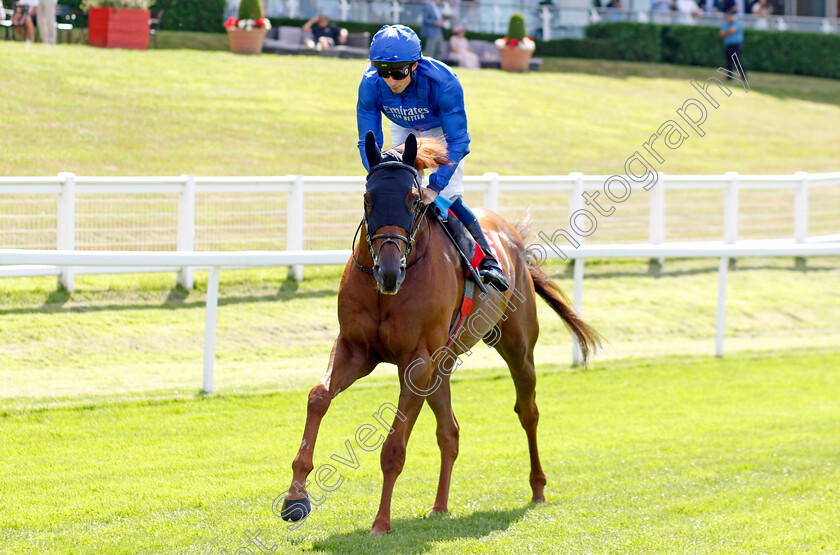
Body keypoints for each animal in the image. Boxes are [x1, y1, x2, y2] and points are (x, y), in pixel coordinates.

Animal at [280, 134, 596, 536]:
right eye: (368, 198)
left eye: (414, 201)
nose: (388, 272)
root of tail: (513, 238)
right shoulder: (356, 349)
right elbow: (318, 397)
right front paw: (295, 496)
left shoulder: (415, 364)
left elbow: (394, 447)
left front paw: (381, 522)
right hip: (441, 367)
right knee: (450, 431)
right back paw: (440, 505)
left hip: (517, 347)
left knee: (528, 411)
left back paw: (537, 489)